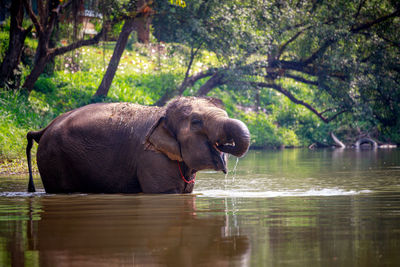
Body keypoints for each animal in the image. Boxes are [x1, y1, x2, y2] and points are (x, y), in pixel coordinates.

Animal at [26, 97, 250, 194]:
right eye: (196, 122)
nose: (225, 144)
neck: (162, 114)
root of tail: (44, 129)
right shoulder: (151, 159)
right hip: (53, 160)